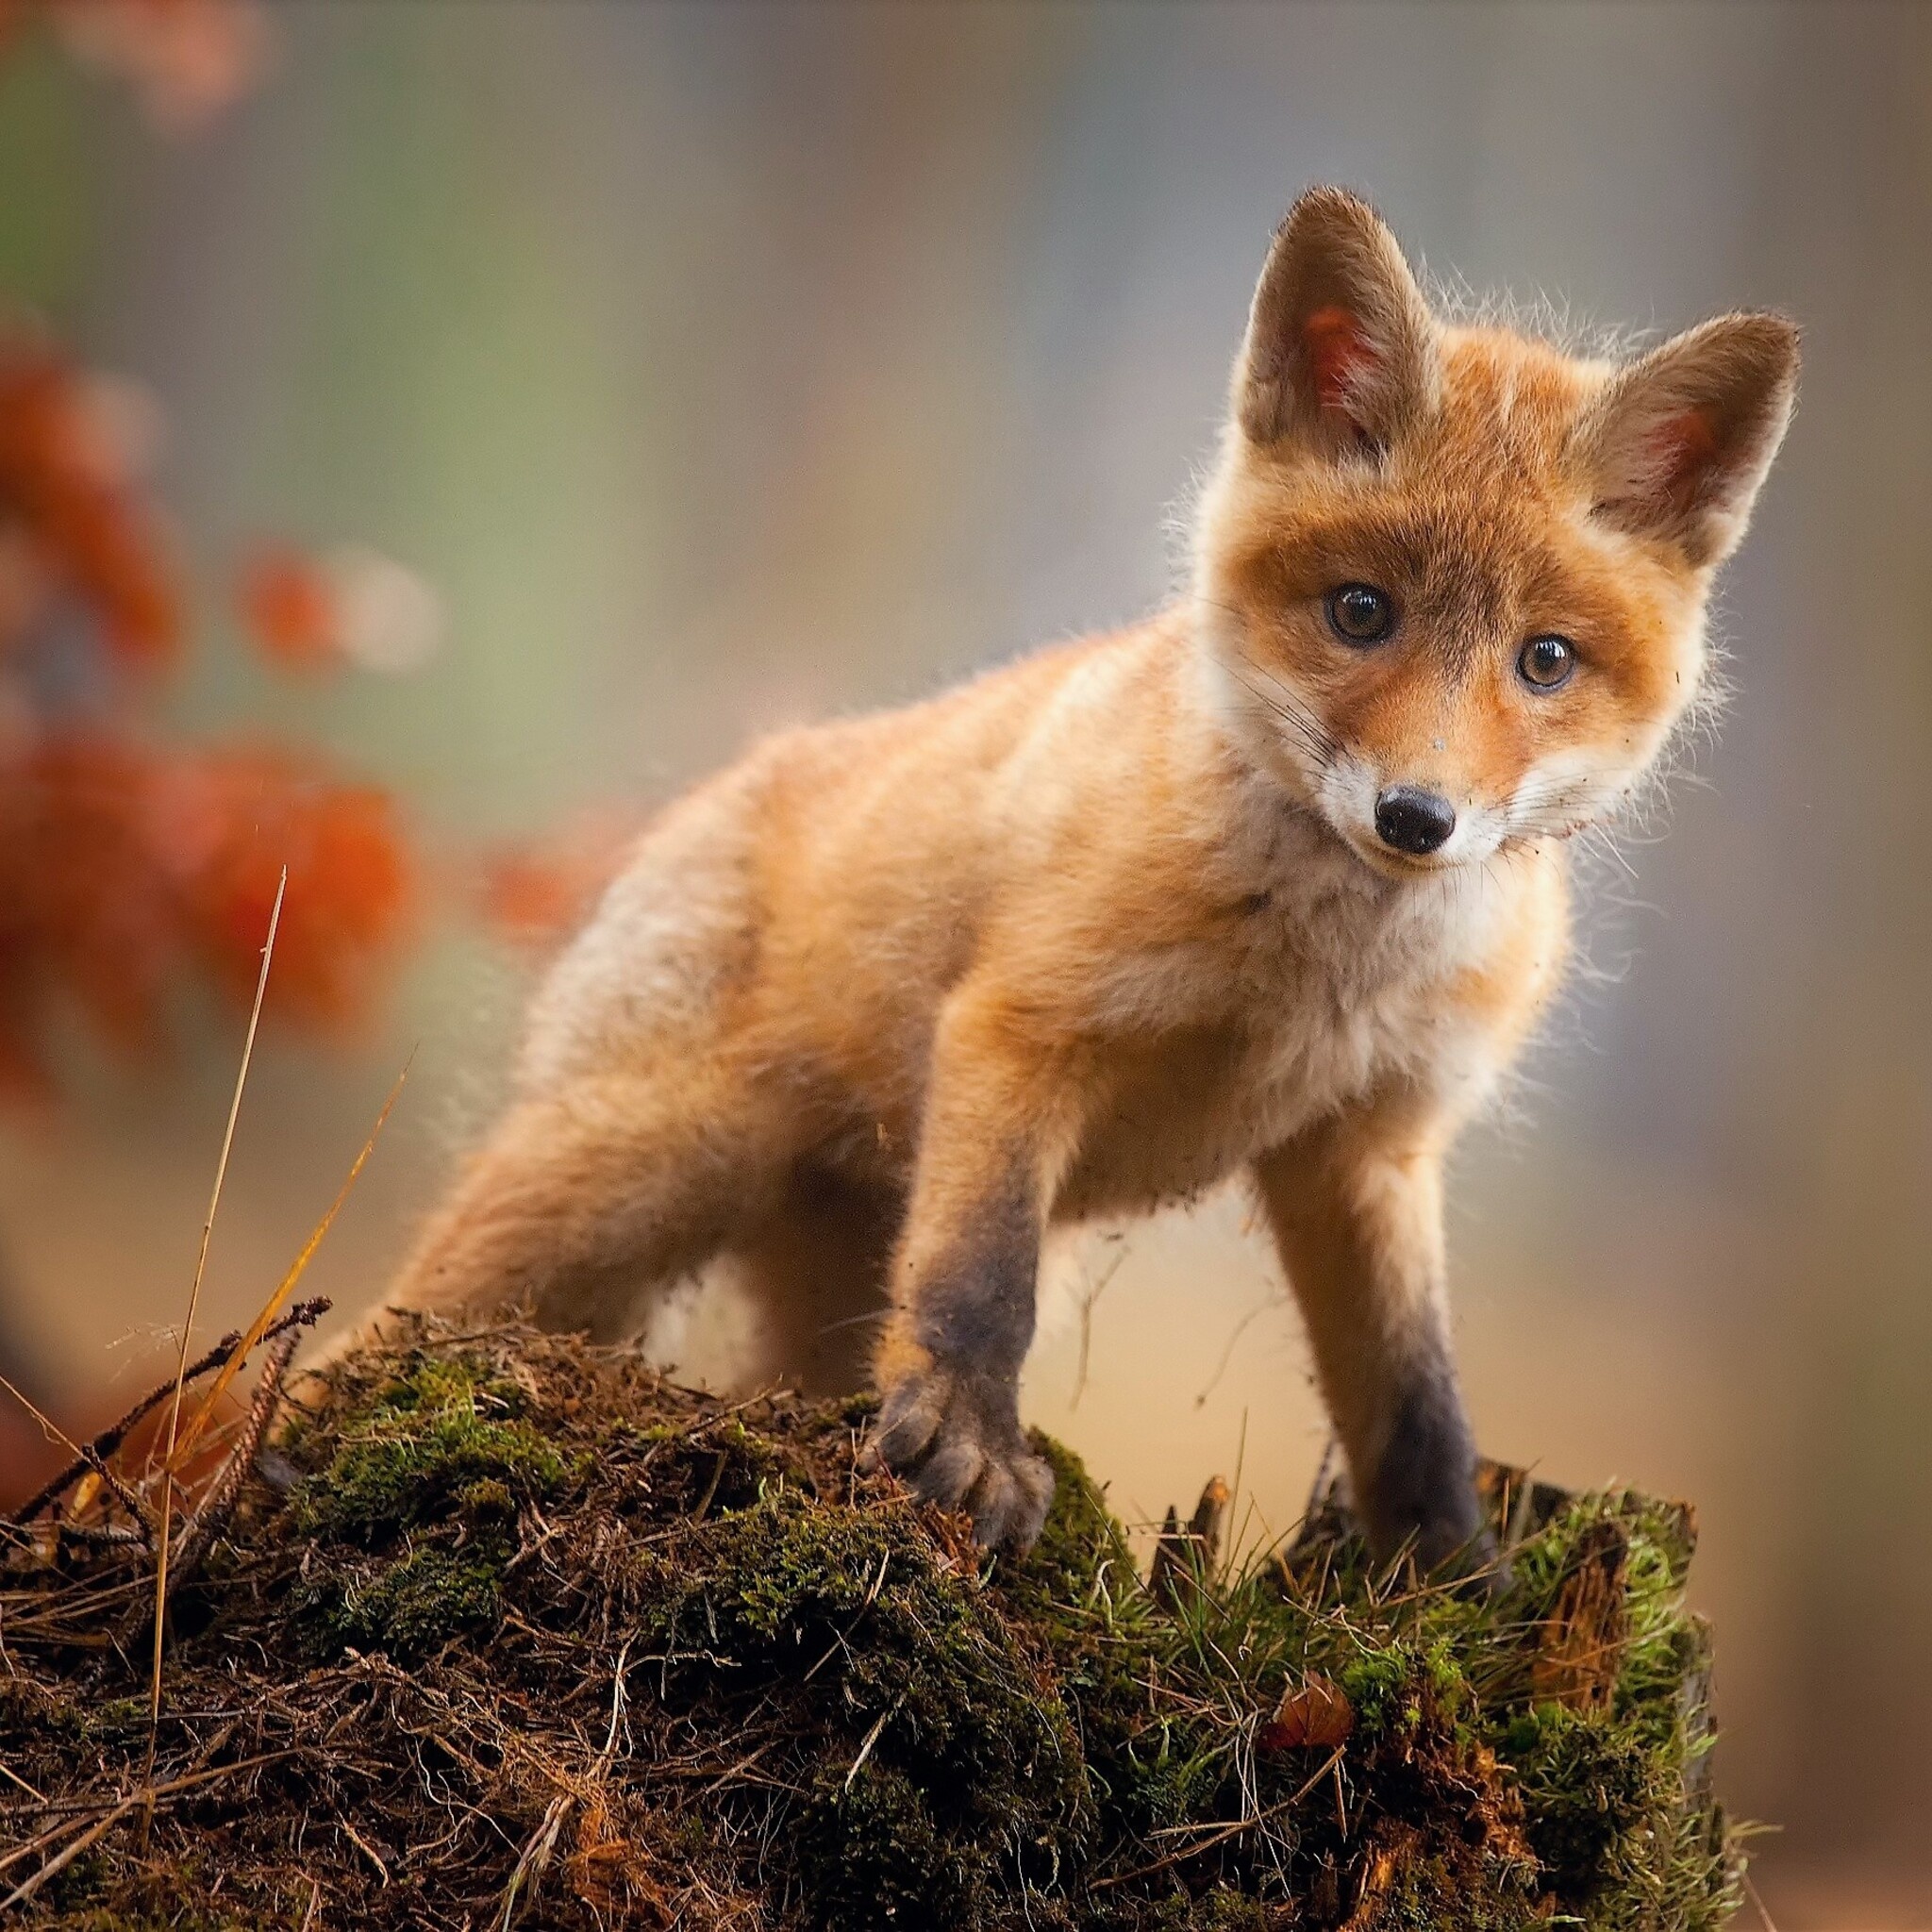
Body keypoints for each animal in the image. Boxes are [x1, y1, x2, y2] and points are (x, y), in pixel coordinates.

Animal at [346, 187, 1796, 1568]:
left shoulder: (1366, 1147)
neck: (1317, 973)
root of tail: (719, 787)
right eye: (1360, 612)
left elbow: (1415, 1407)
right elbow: (985, 1279)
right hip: (617, 1183)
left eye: (1544, 660)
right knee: (362, 1340)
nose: (1416, 816)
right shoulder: (1024, 1027)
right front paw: (970, 1448)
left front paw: (1454, 1587)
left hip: (807, 1275)